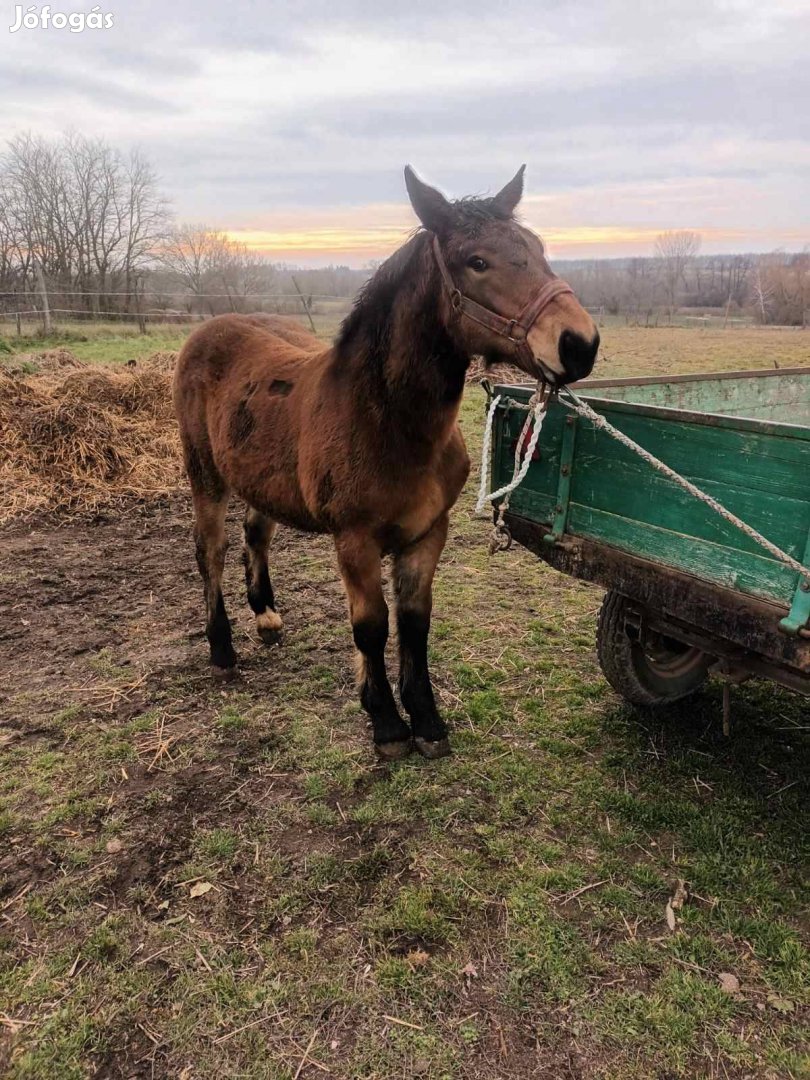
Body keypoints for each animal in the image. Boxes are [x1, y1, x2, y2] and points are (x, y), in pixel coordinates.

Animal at [174, 166, 600, 760]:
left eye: (537, 249)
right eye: (476, 261)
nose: (579, 344)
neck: (386, 422)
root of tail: (211, 329)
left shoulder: (427, 532)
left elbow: (415, 623)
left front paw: (427, 719)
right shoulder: (355, 539)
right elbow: (371, 626)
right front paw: (387, 724)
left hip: (261, 478)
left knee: (254, 533)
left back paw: (266, 616)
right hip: (206, 476)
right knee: (208, 551)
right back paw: (222, 648)